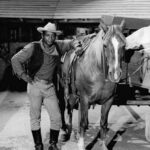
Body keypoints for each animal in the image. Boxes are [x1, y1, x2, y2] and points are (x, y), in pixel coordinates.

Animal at [60, 19, 126, 150]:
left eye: (124, 45)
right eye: (105, 45)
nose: (115, 74)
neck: (97, 70)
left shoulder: (108, 100)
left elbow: (103, 123)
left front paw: (103, 145)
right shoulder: (84, 98)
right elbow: (82, 122)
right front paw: (81, 145)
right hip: (70, 94)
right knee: (69, 110)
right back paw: (69, 132)